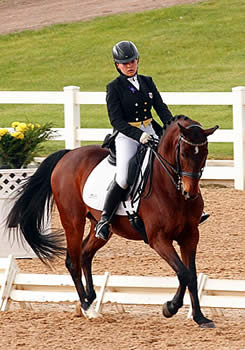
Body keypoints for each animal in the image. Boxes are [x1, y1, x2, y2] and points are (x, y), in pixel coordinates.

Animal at [6, 115, 218, 328]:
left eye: (205, 153)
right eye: (183, 153)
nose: (190, 193)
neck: (169, 187)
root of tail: (69, 154)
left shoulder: (190, 236)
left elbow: (190, 275)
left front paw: (200, 317)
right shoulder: (158, 239)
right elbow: (183, 273)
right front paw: (170, 307)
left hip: (100, 226)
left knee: (85, 253)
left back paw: (89, 298)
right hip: (73, 222)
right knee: (73, 261)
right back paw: (87, 308)